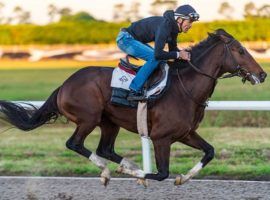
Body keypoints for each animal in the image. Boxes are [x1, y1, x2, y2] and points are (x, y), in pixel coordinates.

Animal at [0, 28, 266, 186]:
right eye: (240, 50)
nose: (262, 74)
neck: (185, 89)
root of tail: (64, 84)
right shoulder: (161, 137)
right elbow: (161, 173)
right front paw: (140, 176)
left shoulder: (186, 133)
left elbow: (209, 151)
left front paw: (183, 177)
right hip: (89, 118)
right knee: (75, 144)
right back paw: (109, 171)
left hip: (109, 122)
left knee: (105, 149)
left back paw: (123, 166)